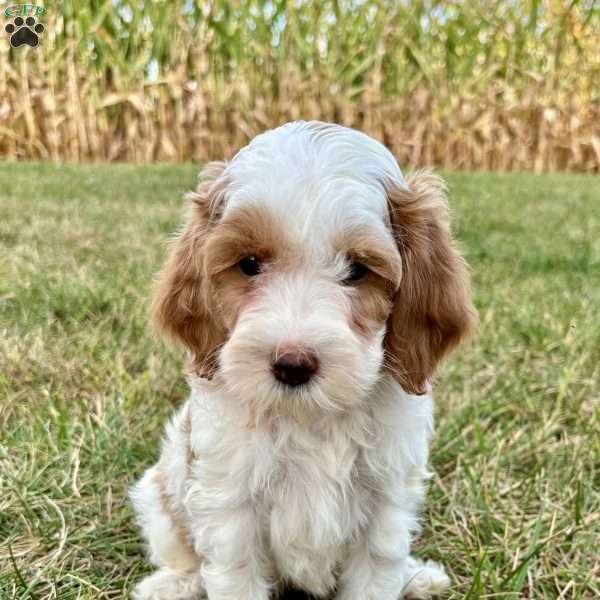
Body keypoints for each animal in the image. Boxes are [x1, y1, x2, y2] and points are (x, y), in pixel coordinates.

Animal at [130, 122, 474, 600]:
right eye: (249, 263)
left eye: (357, 270)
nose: (292, 364)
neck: (309, 418)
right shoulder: (230, 503)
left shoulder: (385, 504)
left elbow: (377, 572)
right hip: (156, 493)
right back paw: (172, 584)